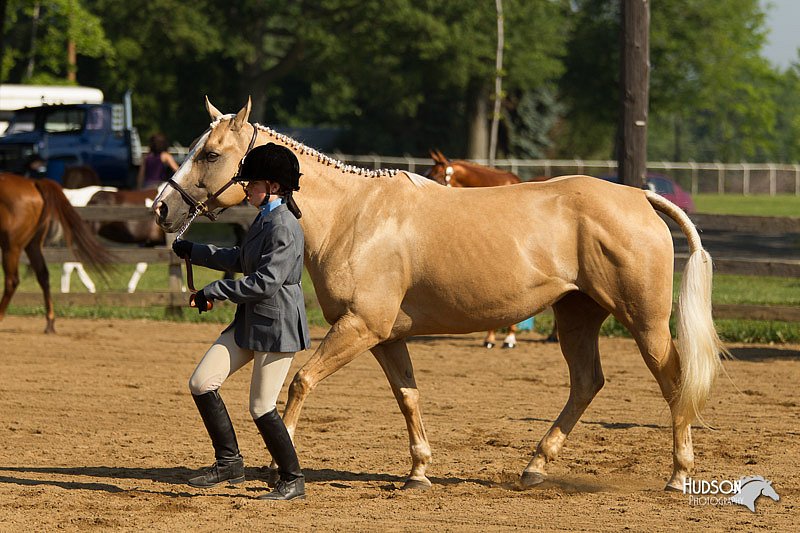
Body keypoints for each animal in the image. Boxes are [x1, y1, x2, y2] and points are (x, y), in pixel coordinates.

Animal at [0, 172, 114, 330]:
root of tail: (32, 183)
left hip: (12, 246)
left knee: (12, 281)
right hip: (32, 245)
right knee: (43, 275)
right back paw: (50, 322)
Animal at [152, 97, 732, 492]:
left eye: (210, 153)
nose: (162, 208)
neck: (352, 215)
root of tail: (639, 197)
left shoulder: (359, 327)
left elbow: (300, 383)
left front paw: (281, 466)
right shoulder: (385, 337)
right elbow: (408, 397)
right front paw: (418, 471)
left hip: (645, 321)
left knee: (674, 381)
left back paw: (679, 475)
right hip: (577, 316)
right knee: (587, 383)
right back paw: (535, 466)